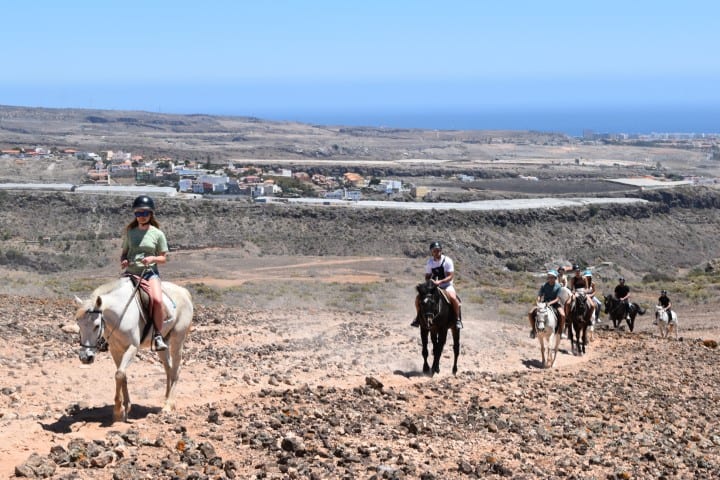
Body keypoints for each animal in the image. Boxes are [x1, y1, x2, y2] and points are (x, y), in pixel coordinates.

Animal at [74, 276, 193, 422]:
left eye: (96, 325)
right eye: (78, 324)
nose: (85, 357)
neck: (120, 313)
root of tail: (184, 292)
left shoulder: (132, 347)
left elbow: (119, 374)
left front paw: (118, 410)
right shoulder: (116, 349)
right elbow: (122, 375)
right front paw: (126, 407)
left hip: (178, 339)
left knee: (176, 369)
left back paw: (168, 405)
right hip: (163, 344)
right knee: (168, 368)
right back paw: (166, 399)